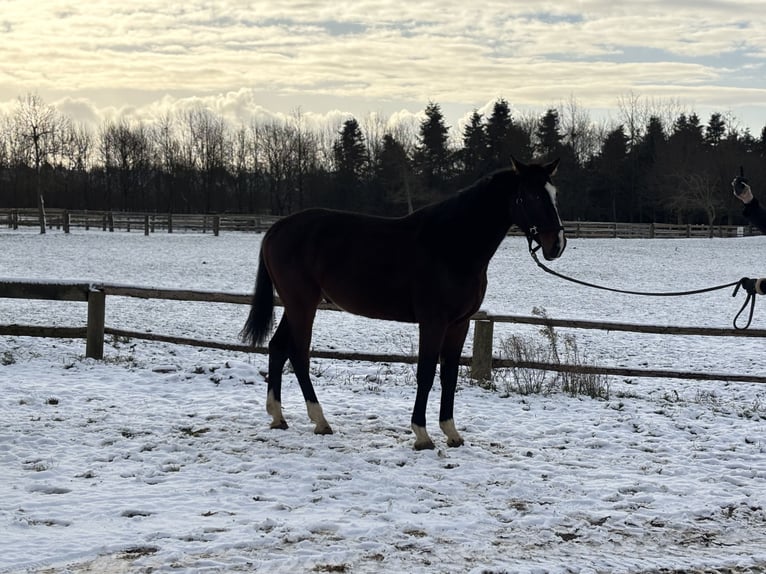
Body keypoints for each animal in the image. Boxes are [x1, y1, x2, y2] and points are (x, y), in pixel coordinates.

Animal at [241, 157, 566, 450]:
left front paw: (451, 433)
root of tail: (277, 228)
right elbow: (426, 373)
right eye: (532, 196)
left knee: (278, 347)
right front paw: (422, 435)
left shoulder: (459, 324)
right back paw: (320, 421)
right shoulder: (433, 322)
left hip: (295, 304)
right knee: (298, 354)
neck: (452, 244)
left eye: (554, 194)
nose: (556, 245)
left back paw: (278, 417)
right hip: (302, 304)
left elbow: (449, 375)